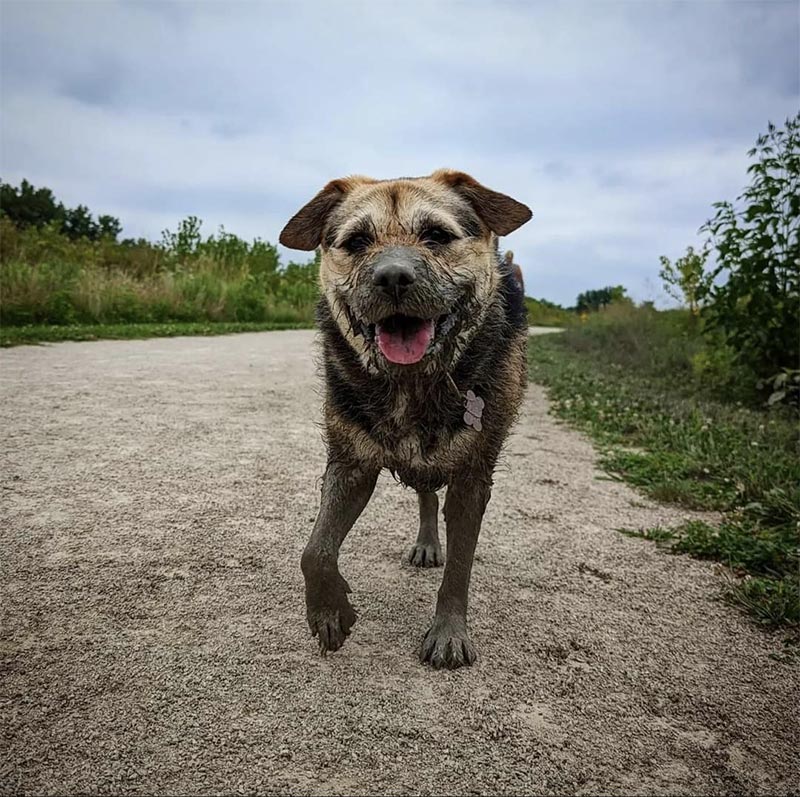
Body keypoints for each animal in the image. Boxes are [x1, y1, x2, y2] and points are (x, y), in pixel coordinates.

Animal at [280, 171, 532, 668]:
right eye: (357, 242)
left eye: (436, 235)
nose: (393, 276)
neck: (410, 383)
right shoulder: (350, 463)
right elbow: (315, 550)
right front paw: (329, 611)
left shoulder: (472, 477)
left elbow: (460, 567)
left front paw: (449, 632)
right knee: (425, 497)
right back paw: (426, 542)